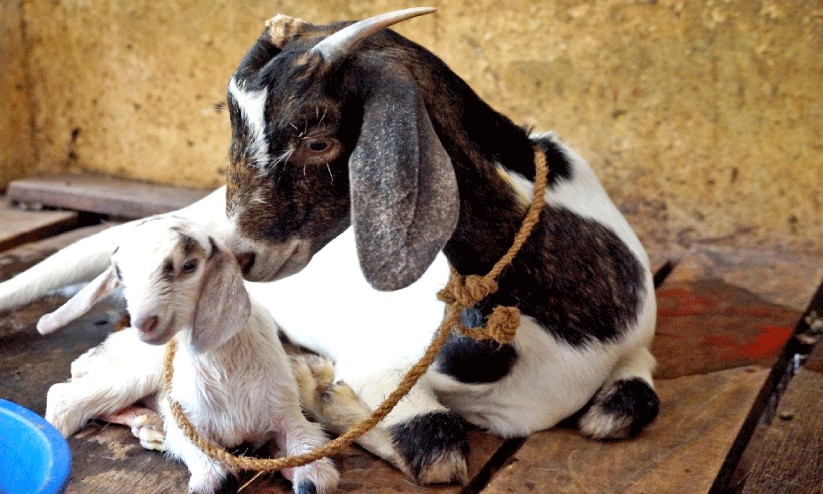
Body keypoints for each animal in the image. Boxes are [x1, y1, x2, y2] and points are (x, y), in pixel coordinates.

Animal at [37, 218, 340, 494]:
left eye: (189, 266)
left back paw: (146, 423)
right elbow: (207, 467)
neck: (224, 370)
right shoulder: (185, 418)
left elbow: (309, 454)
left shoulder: (285, 410)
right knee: (63, 397)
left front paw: (303, 473)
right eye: (120, 274)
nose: (144, 324)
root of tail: (99, 351)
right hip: (136, 373)